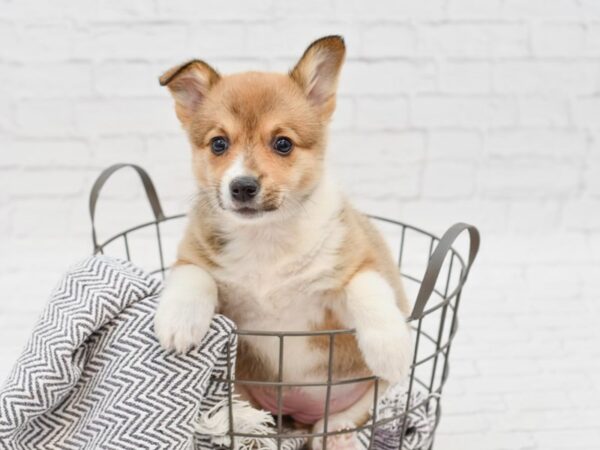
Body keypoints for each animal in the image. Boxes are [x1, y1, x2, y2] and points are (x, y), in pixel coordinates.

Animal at [154, 36, 412, 450]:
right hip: (239, 390)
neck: (267, 238)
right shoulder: (197, 261)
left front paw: (390, 347)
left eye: (283, 144)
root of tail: (298, 415)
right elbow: (194, 276)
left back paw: (339, 438)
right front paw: (179, 324)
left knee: (337, 421)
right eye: (219, 144)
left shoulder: (353, 270)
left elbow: (367, 288)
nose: (242, 187)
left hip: (368, 395)